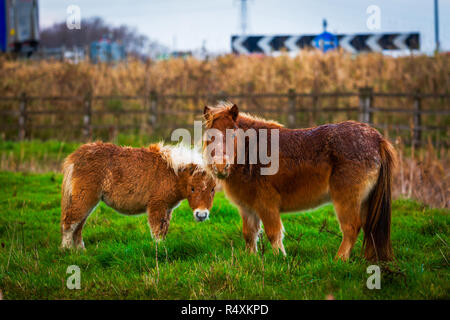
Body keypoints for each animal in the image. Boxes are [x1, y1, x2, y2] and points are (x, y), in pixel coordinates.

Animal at [61, 142, 216, 250]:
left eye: (213, 189)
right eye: (192, 188)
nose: (201, 215)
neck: (172, 172)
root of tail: (75, 157)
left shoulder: (167, 208)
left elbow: (164, 229)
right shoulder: (157, 206)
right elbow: (157, 231)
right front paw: (159, 251)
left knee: (78, 225)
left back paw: (80, 251)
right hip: (85, 197)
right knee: (70, 222)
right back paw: (67, 251)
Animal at [204, 101, 398, 262]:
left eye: (233, 135)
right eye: (209, 138)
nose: (220, 166)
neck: (251, 153)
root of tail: (377, 139)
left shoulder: (267, 204)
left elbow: (273, 234)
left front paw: (280, 258)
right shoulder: (247, 208)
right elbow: (249, 234)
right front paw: (251, 258)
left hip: (347, 199)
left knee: (351, 228)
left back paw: (339, 260)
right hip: (365, 201)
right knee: (368, 227)